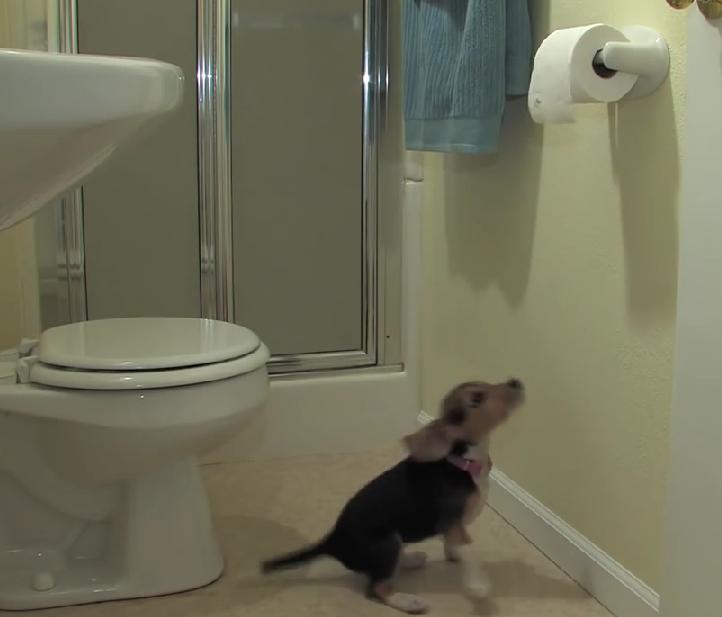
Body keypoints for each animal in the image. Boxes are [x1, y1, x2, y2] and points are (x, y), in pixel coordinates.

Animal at [260, 378, 524, 612]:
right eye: (477, 398)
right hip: (385, 543)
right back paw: (407, 601)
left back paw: (410, 559)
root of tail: (333, 540)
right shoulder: (450, 520)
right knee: (376, 589)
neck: (462, 461)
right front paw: (478, 585)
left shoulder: (453, 525)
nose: (515, 381)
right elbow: (468, 548)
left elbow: (457, 544)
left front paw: (455, 557)